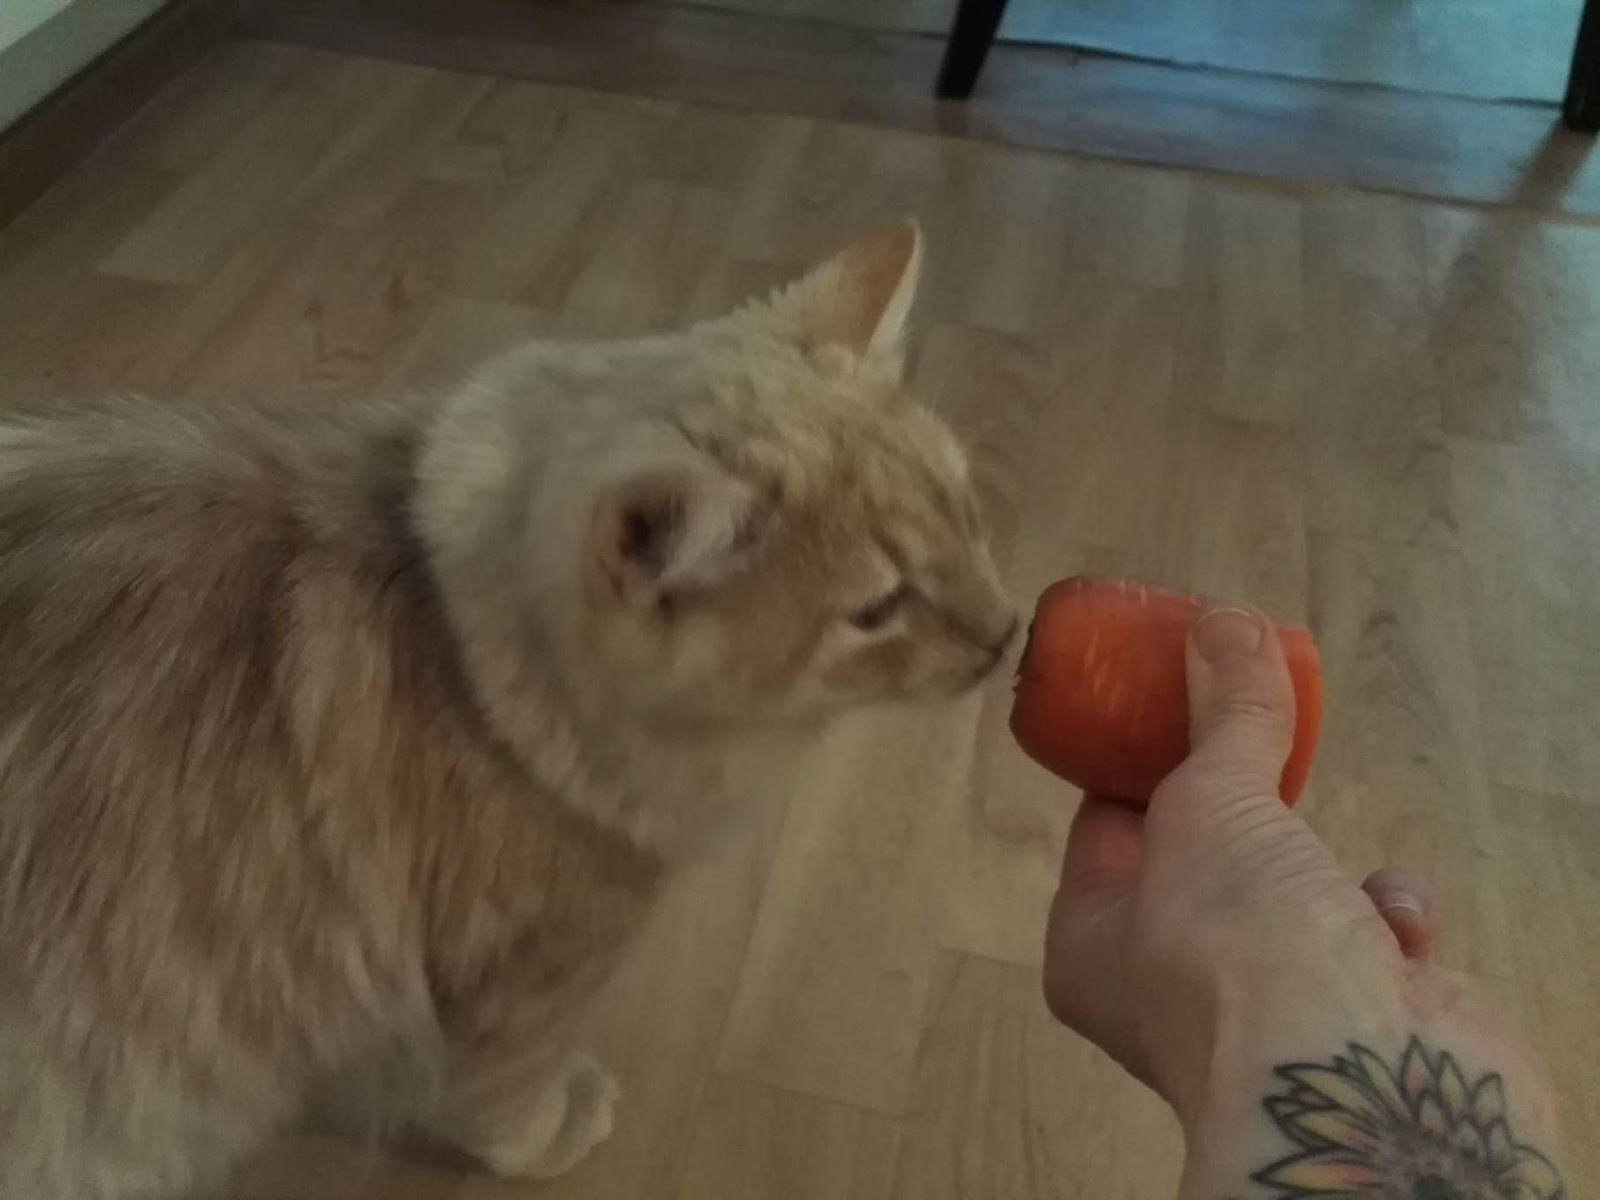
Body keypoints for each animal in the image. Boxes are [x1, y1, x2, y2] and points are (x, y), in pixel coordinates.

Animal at [0, 219, 1017, 1199]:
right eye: (878, 610)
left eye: (969, 514)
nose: (1007, 635)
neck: (455, 644)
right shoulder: (515, 984)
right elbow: (506, 1104)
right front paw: (561, 1131)